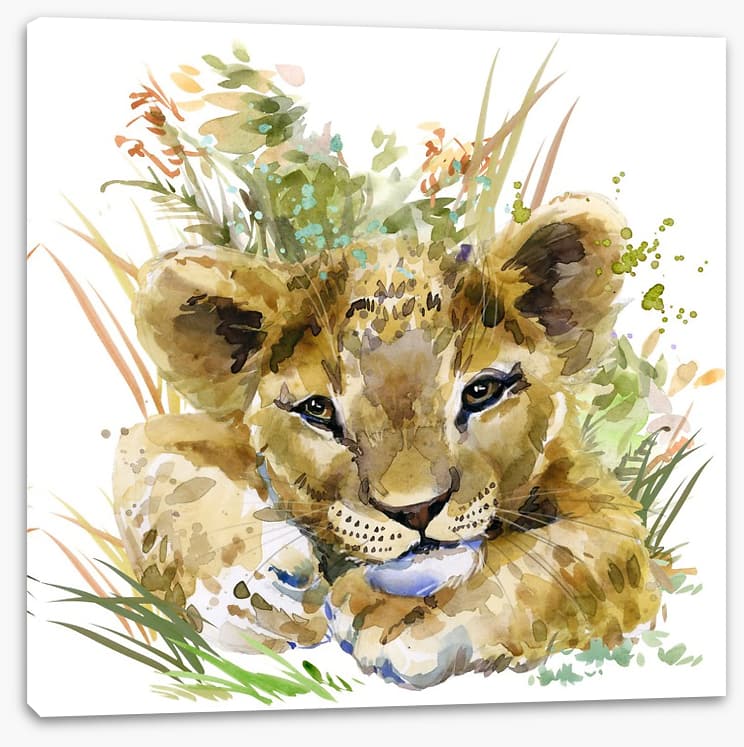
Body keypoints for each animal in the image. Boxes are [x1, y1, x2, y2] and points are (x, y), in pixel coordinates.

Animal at [113, 192, 661, 689]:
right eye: (318, 410)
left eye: (482, 391)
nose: (415, 510)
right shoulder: (171, 441)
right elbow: (149, 448)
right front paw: (254, 588)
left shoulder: (605, 516)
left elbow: (567, 559)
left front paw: (405, 621)